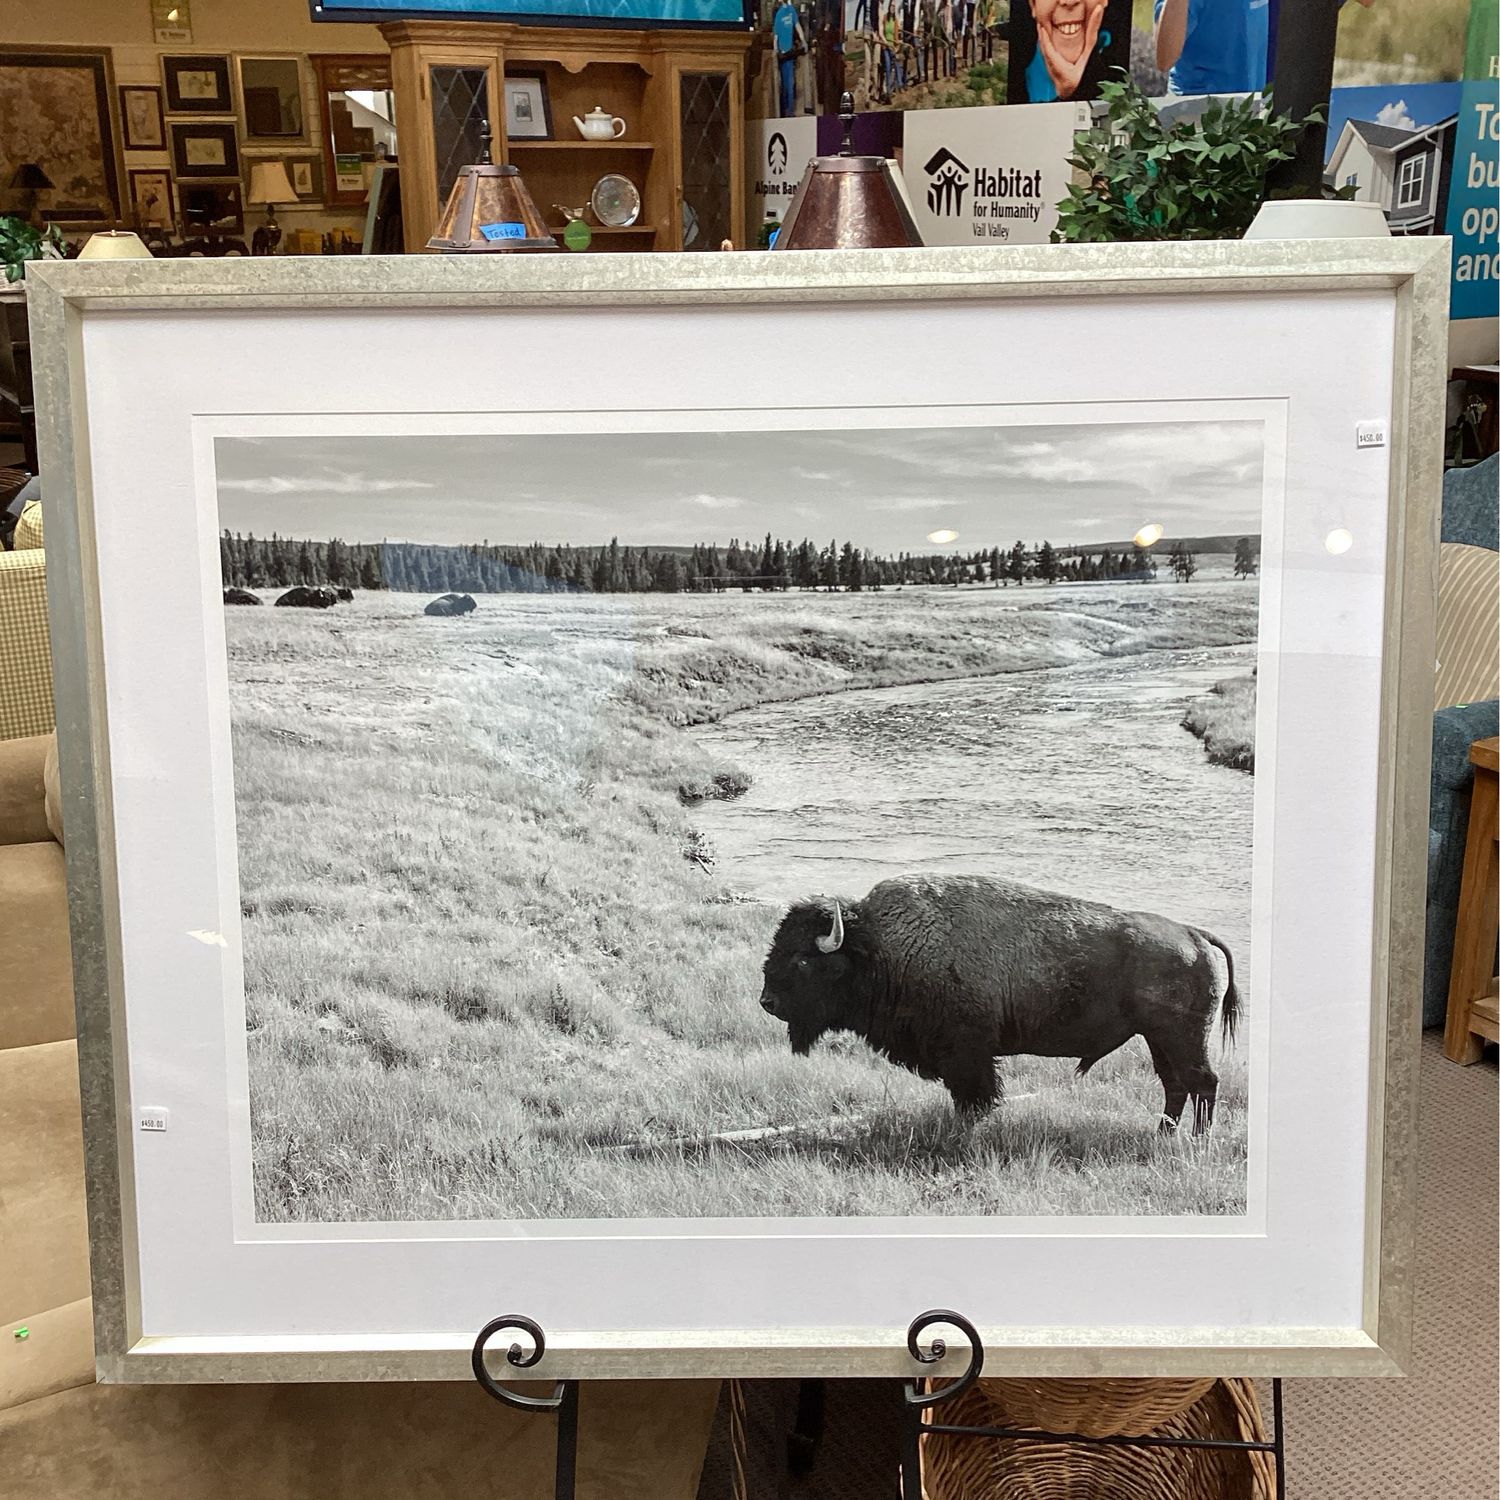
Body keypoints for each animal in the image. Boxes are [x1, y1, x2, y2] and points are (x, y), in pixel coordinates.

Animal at [762, 876, 1242, 1128]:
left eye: (802, 959)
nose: (767, 1001)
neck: (881, 948)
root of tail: (1193, 934)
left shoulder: (967, 1054)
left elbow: (975, 1097)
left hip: (1181, 1037)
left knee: (1203, 1082)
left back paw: (1195, 1142)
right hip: (1158, 1039)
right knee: (1175, 1084)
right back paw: (1164, 1134)